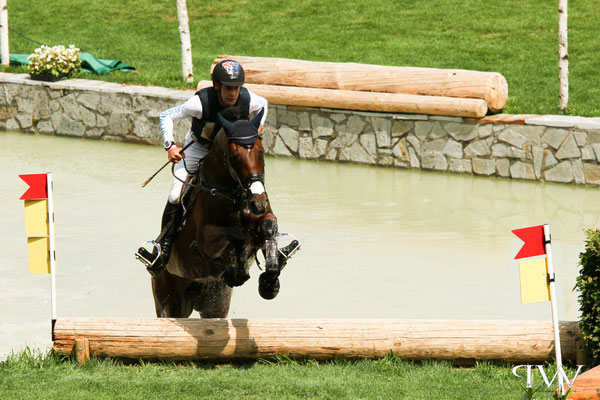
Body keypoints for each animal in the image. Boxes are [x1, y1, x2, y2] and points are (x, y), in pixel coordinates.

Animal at [150, 109, 284, 318]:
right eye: (234, 156)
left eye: (261, 152)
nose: (258, 203)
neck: (233, 193)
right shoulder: (203, 241)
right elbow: (236, 234)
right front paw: (238, 272)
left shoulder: (261, 219)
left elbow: (269, 225)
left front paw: (270, 281)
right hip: (170, 300)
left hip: (213, 304)